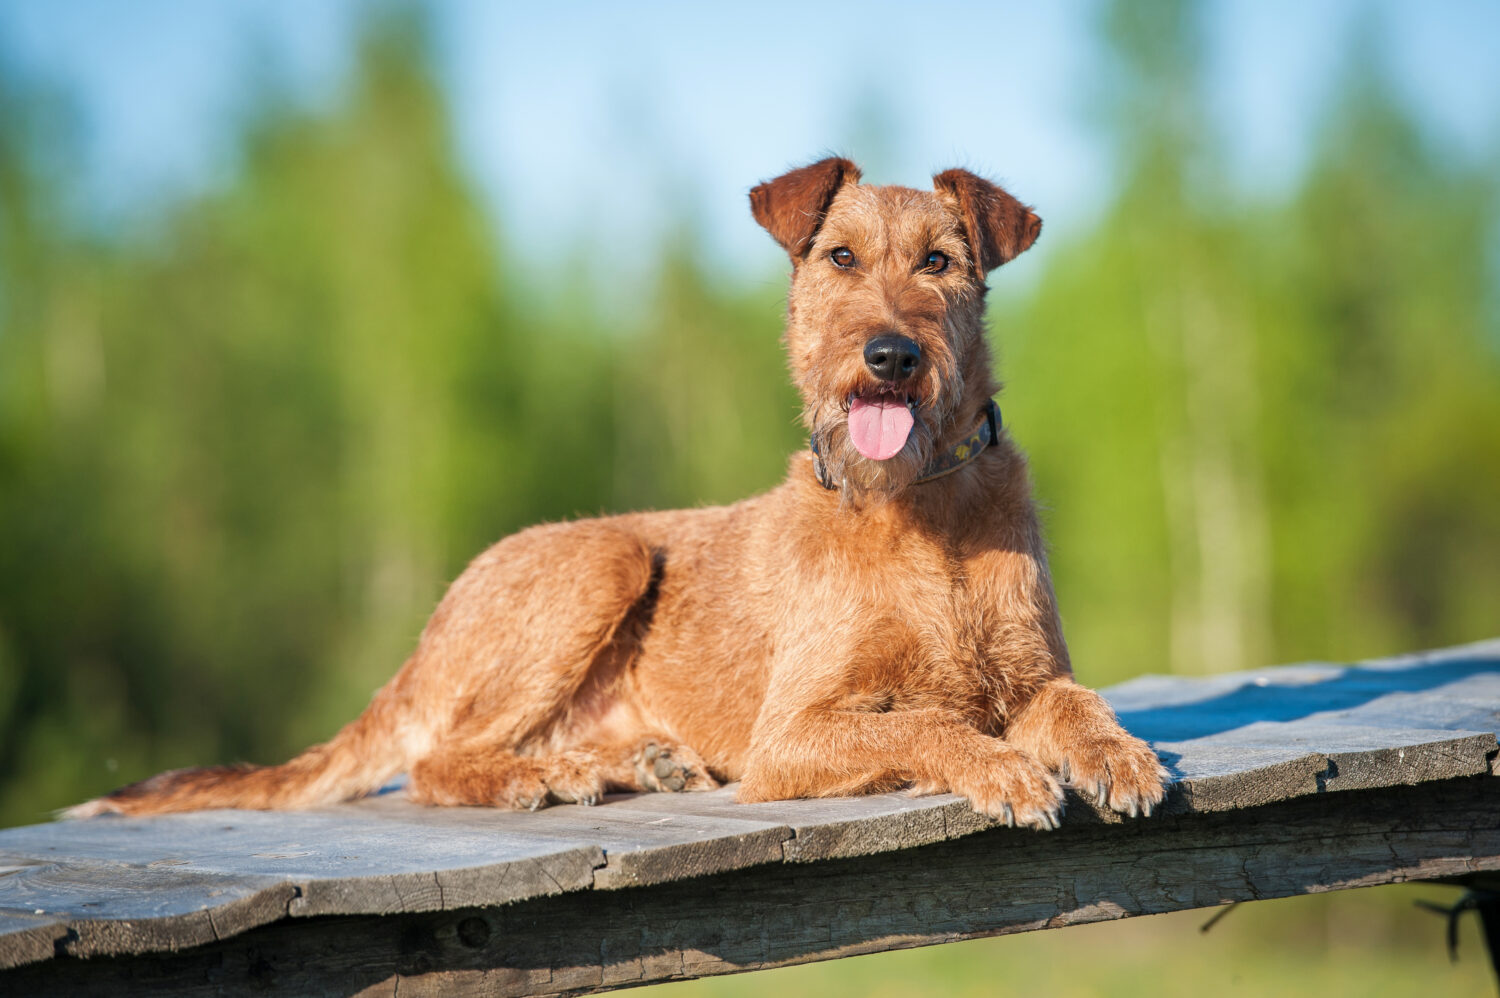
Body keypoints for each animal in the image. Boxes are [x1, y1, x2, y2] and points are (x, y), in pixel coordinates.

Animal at [67, 157, 1170, 822]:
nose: (889, 356)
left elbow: (1076, 701)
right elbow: (925, 723)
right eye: (840, 258)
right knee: (438, 759)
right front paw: (1003, 766)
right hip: (605, 555)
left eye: (940, 262)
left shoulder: (1032, 673)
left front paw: (1116, 754)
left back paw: (629, 760)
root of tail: (419, 648)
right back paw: (549, 775)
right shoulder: (790, 736)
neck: (922, 509)